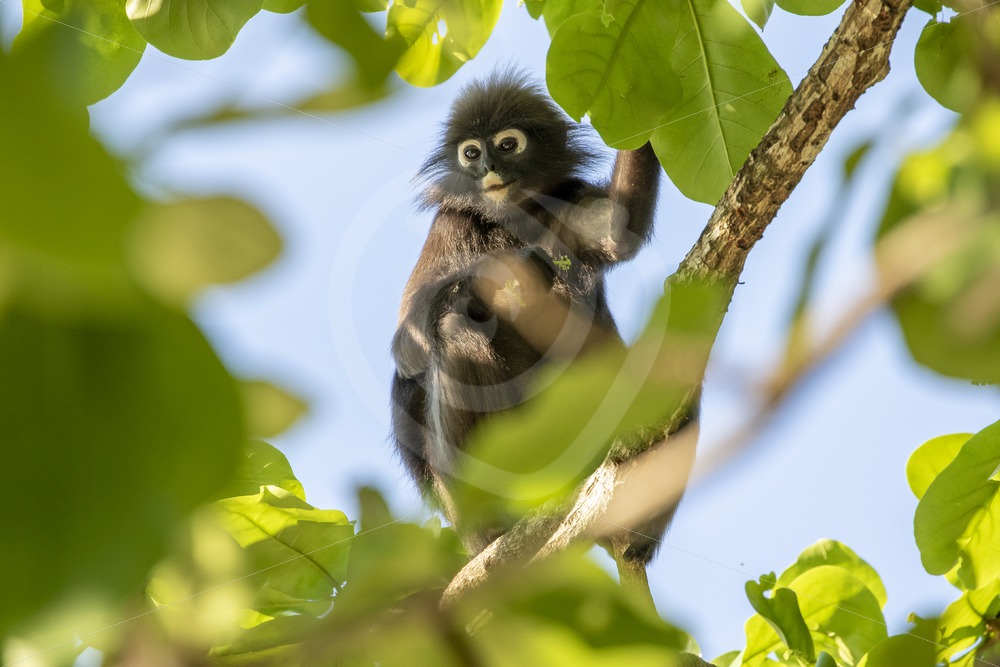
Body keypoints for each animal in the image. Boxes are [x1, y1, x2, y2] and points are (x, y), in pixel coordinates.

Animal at [390, 71, 681, 571]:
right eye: (471, 153)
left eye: (508, 145)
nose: (488, 166)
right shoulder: (450, 222)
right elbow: (405, 345)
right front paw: (500, 277)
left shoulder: (567, 200)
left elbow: (618, 230)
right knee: (449, 337)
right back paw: (494, 527)